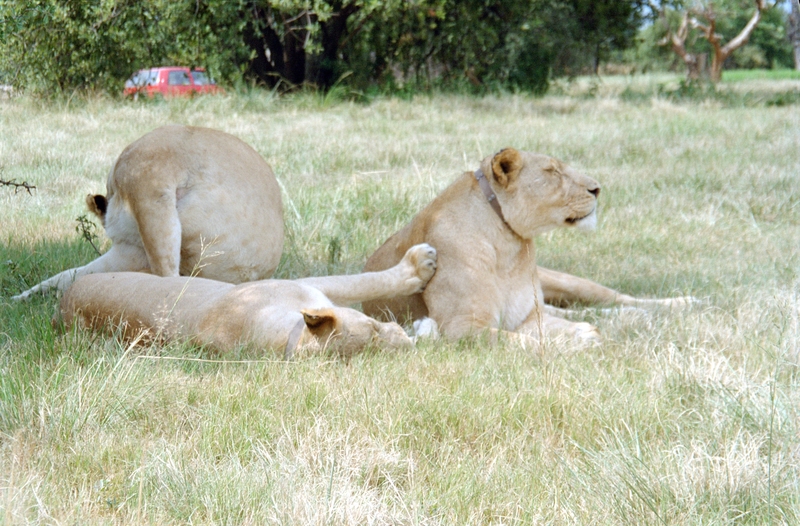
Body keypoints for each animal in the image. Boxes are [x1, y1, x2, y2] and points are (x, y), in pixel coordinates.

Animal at [60, 245, 440, 360]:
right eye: (373, 328)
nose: (404, 341)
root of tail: (62, 304)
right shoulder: (306, 285)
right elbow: (364, 281)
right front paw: (420, 265)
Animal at [362, 148, 692, 346]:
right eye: (553, 172)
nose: (597, 189)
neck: (508, 246)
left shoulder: (527, 316)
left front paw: (584, 334)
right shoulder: (461, 327)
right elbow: (525, 342)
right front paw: (577, 341)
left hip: (566, 282)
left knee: (614, 298)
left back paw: (680, 303)